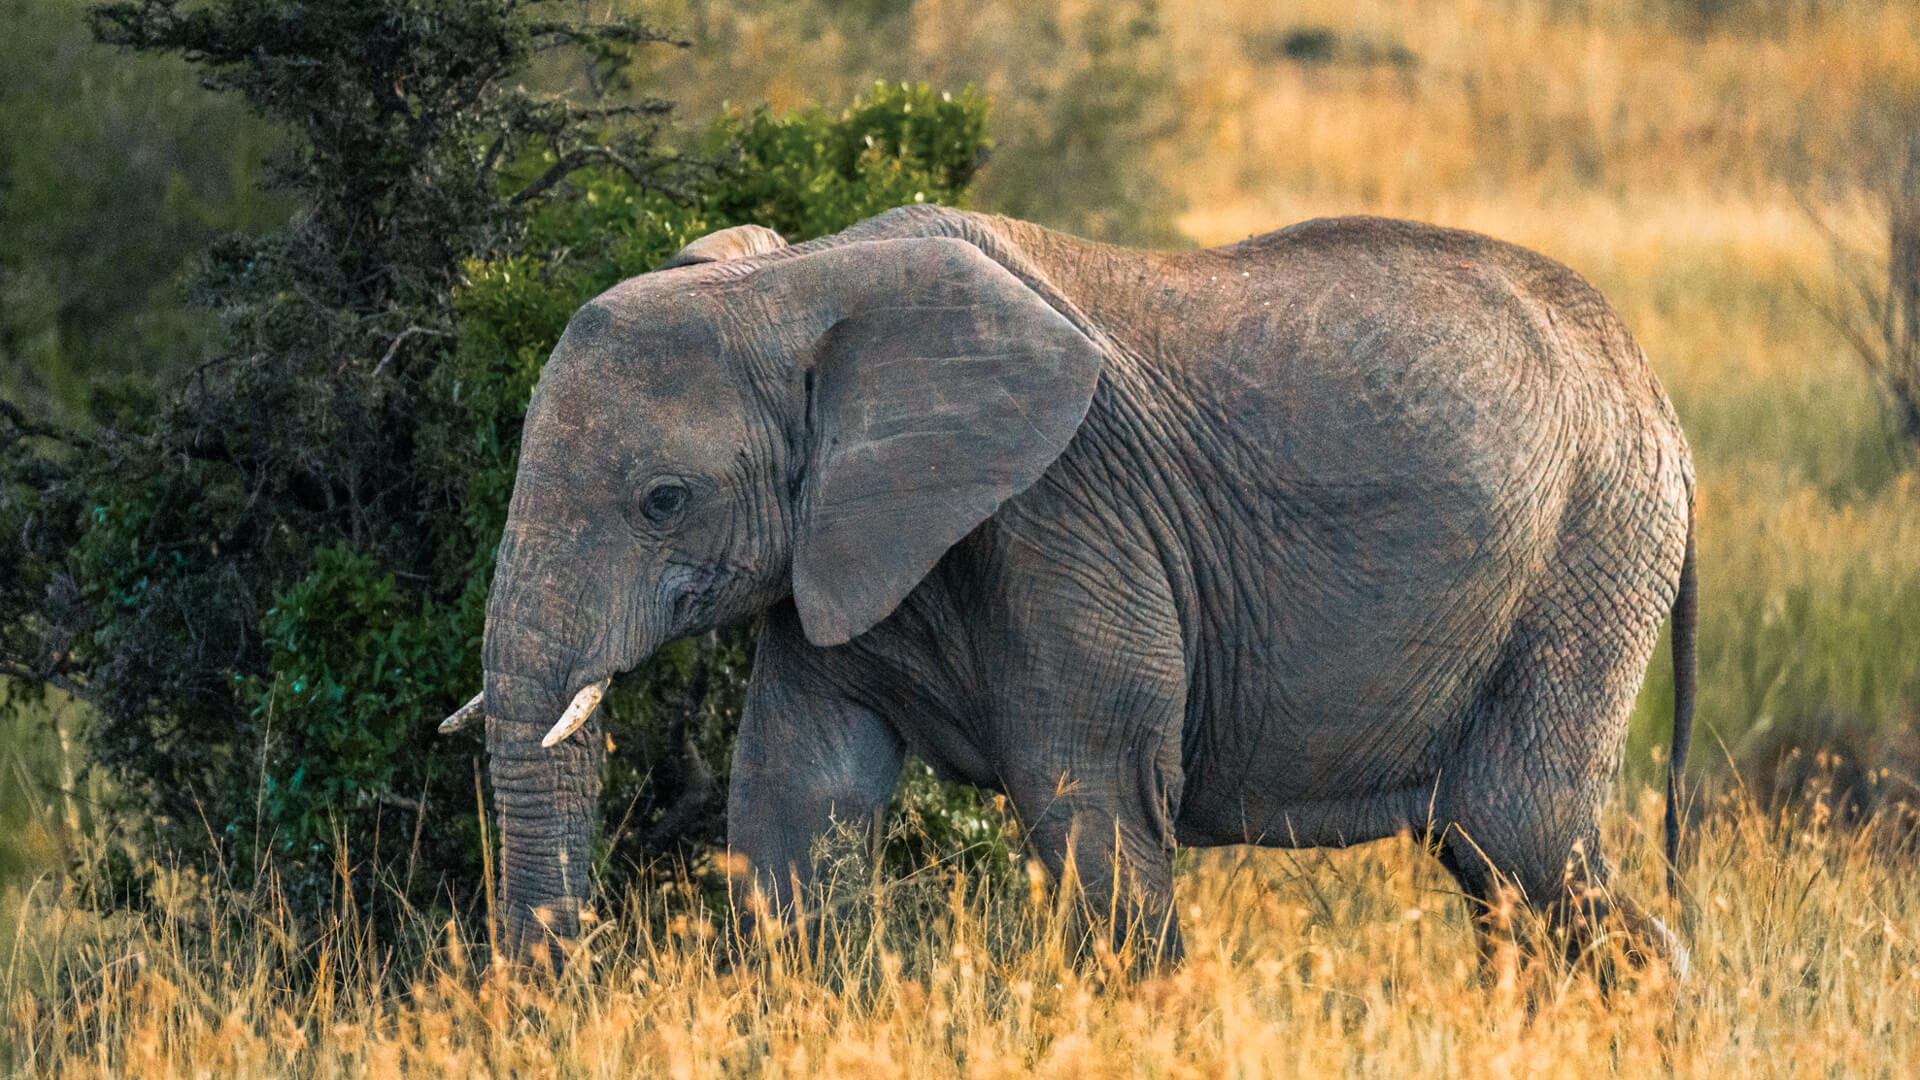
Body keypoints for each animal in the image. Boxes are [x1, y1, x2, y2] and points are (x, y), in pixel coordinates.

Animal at [442, 204, 1698, 971]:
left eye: (664, 499)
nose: (564, 988)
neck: (799, 281)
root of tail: (1657, 396)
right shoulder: (836, 546)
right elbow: (795, 800)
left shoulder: (1066, 516)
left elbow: (1088, 797)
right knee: (1496, 866)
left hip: (1592, 546)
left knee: (1516, 832)